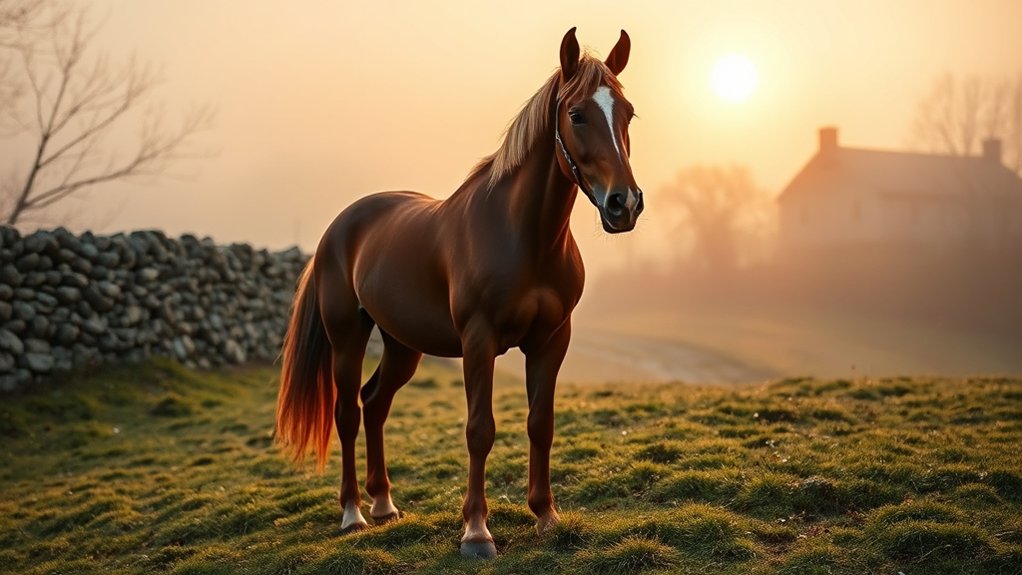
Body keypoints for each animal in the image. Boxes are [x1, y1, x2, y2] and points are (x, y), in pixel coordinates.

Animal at [276, 27, 643, 559]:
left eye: (628, 113)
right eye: (577, 114)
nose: (624, 204)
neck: (521, 235)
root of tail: (339, 228)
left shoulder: (552, 340)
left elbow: (541, 423)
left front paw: (546, 515)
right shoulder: (478, 340)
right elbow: (479, 429)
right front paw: (476, 532)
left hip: (402, 345)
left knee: (375, 403)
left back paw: (384, 504)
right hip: (346, 338)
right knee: (347, 412)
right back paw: (353, 514)